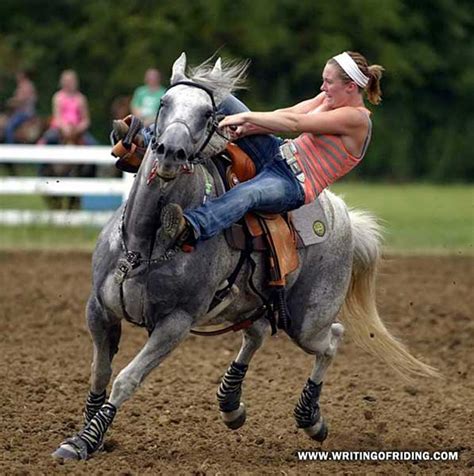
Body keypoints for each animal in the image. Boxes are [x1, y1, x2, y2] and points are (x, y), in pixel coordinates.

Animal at [51, 54, 436, 460]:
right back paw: (231, 403)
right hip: (254, 303)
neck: (144, 242)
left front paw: (85, 440)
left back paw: (310, 419)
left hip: (307, 321)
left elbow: (126, 379)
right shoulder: (98, 309)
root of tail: (343, 214)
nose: (170, 152)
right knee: (258, 332)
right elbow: (99, 372)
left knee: (332, 338)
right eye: (163, 103)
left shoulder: (175, 323)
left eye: (208, 114)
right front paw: (85, 436)